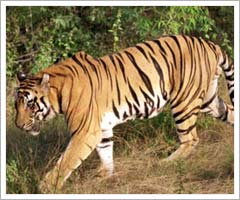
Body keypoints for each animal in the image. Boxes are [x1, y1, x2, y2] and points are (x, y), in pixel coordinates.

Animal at [14, 35, 233, 193]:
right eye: (16, 105)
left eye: (30, 104)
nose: (18, 125)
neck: (58, 93)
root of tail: (209, 44)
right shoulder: (101, 128)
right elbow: (106, 153)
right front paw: (105, 176)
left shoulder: (85, 131)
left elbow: (66, 161)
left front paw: (44, 187)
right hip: (209, 101)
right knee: (230, 113)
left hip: (184, 102)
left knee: (190, 139)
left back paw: (163, 163)